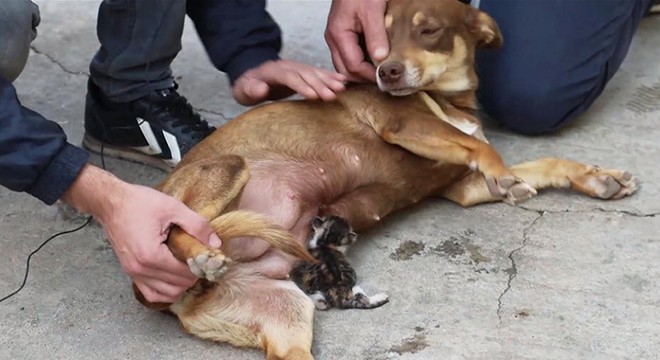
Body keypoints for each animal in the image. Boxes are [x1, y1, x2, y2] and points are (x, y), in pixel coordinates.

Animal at [133, 1, 640, 358]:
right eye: (376, 35)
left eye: (428, 30)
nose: (386, 70)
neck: (449, 100)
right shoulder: (405, 126)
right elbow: (483, 149)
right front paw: (507, 175)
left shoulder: (463, 186)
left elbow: (545, 162)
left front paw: (599, 179)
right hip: (227, 169)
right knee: (174, 226)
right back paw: (200, 254)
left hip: (286, 317)